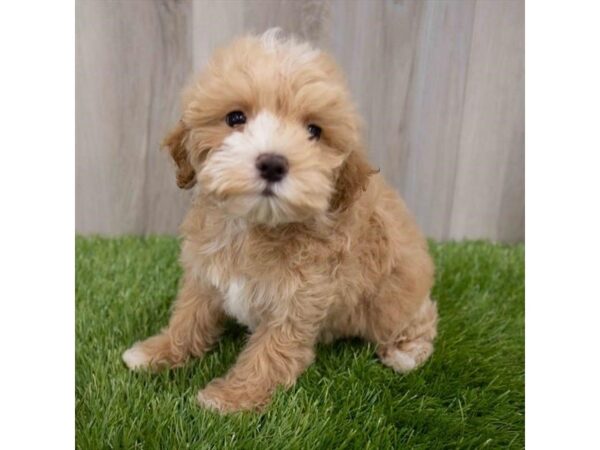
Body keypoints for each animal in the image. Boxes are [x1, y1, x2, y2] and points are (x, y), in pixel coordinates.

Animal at [124, 29, 438, 414]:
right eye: (235, 118)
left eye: (314, 131)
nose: (273, 163)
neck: (256, 225)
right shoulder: (204, 273)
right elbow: (189, 314)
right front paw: (159, 351)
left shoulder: (298, 302)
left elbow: (269, 354)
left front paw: (231, 399)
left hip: (393, 300)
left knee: (420, 316)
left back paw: (406, 352)